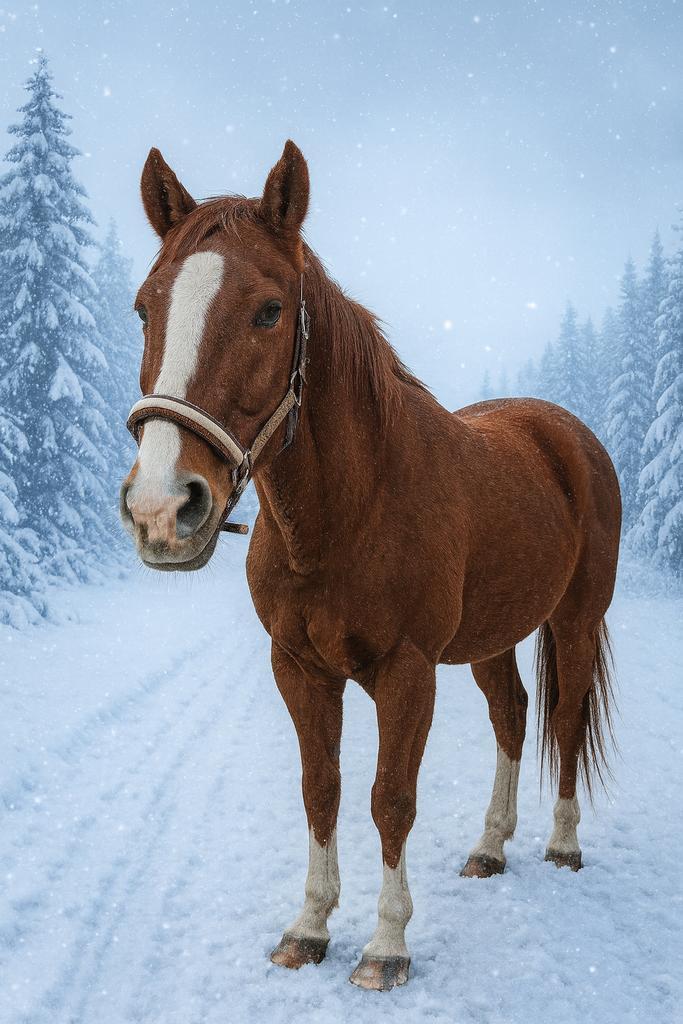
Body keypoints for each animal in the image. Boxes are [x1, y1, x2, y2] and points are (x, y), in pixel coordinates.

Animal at [120, 140, 620, 991]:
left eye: (268, 310)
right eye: (146, 308)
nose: (163, 508)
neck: (346, 512)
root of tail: (565, 434)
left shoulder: (405, 671)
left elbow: (391, 798)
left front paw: (385, 947)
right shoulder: (299, 668)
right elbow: (320, 789)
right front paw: (309, 928)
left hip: (575, 619)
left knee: (563, 716)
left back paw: (561, 844)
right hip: (491, 638)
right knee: (512, 715)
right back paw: (490, 847)